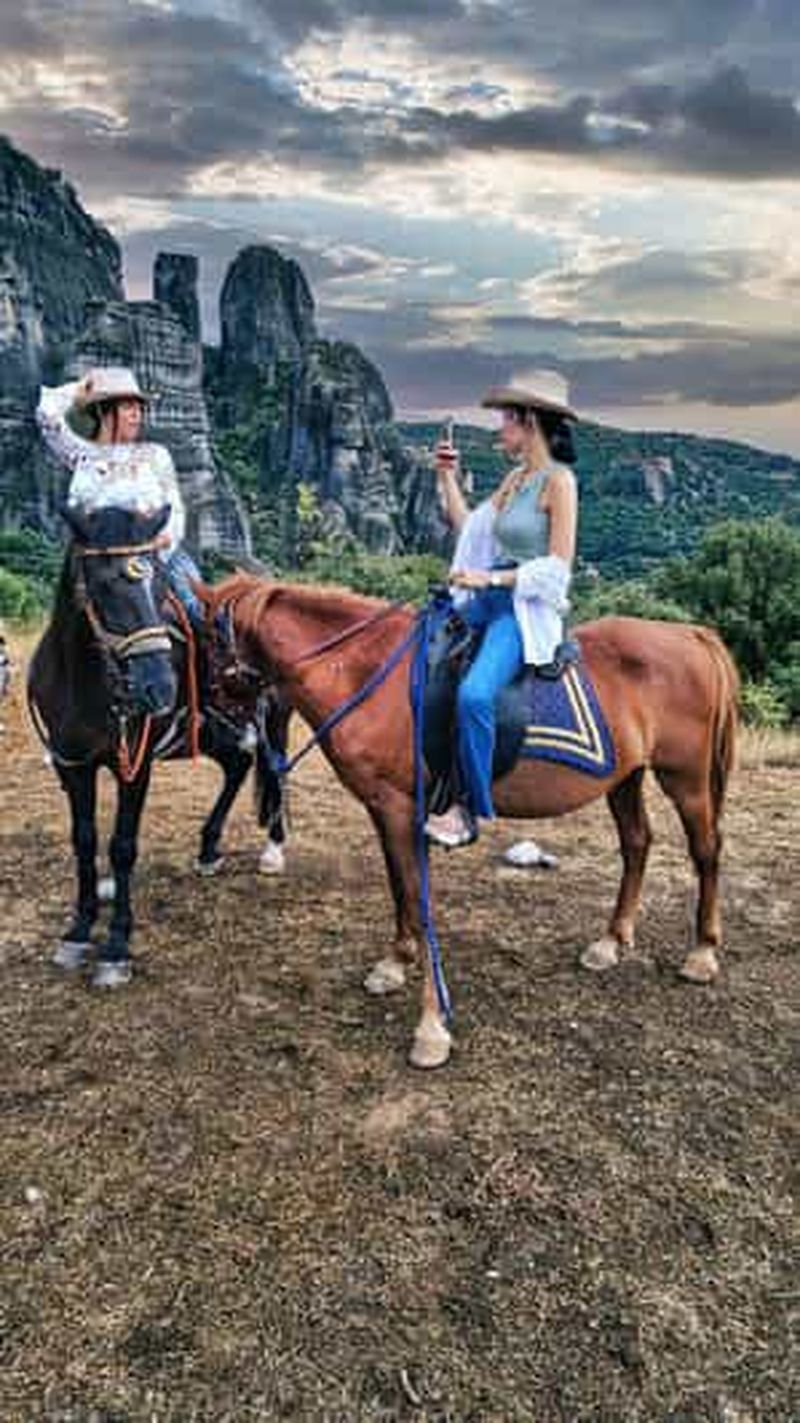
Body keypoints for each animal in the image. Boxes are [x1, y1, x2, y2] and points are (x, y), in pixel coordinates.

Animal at [27, 504, 288, 987]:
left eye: (161, 585)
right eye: (103, 583)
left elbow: (122, 846)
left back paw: (274, 850)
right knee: (237, 765)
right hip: (213, 730)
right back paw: (208, 849)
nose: (159, 687)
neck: (85, 682)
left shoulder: (136, 765)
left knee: (274, 771)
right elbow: (85, 841)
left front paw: (116, 947)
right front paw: (78, 930)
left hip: (275, 718)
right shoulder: (73, 765)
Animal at [202, 574, 739, 1070]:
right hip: (626, 775)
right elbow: (399, 889)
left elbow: (417, 898)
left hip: (685, 778)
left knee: (706, 850)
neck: (366, 671)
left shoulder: (400, 809)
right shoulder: (383, 809)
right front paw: (396, 962)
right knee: (637, 843)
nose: (222, 729)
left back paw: (702, 952)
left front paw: (431, 1026)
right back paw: (611, 941)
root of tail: (692, 635)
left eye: (205, 638)